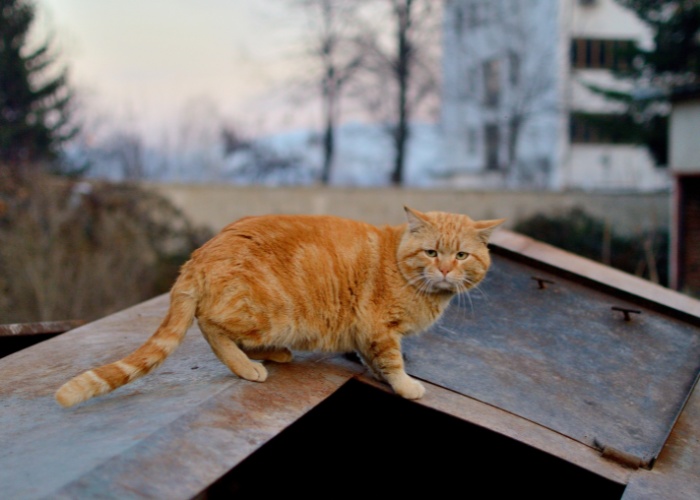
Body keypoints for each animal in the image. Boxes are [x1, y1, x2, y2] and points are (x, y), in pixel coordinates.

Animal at [54, 207, 504, 406]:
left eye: (461, 256)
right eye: (431, 252)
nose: (445, 269)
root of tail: (200, 253)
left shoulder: (366, 333)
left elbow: (372, 357)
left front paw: (378, 373)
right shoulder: (379, 327)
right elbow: (392, 361)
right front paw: (406, 385)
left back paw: (276, 355)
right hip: (267, 313)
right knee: (211, 327)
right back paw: (248, 367)